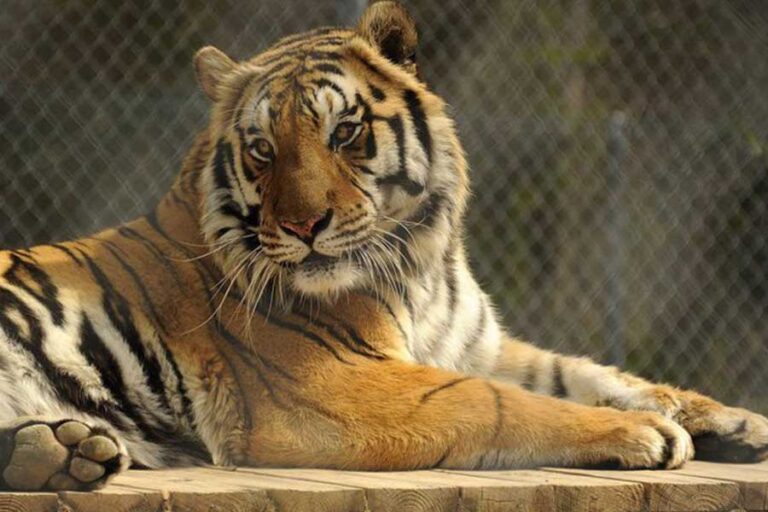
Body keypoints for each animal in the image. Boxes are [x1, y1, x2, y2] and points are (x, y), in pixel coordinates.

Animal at [1, 0, 767, 492]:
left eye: (343, 132)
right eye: (262, 149)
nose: (304, 226)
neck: (422, 265)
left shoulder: (475, 344)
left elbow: (589, 371)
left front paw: (737, 421)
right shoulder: (332, 387)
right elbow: (500, 403)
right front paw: (643, 433)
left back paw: (62, 453)